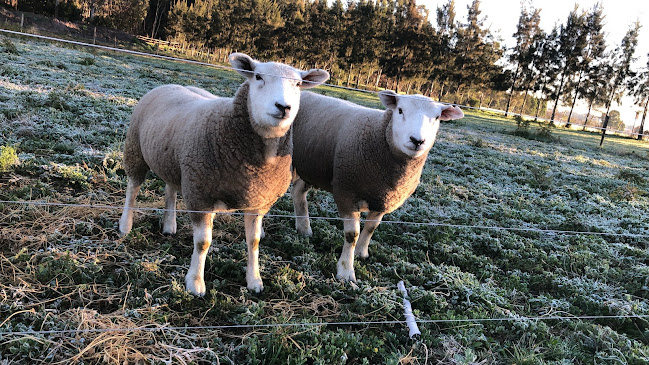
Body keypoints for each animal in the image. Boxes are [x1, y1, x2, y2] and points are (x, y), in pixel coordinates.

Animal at [117, 52, 330, 294]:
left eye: (298, 84)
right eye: (258, 77)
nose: (283, 106)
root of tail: (170, 85)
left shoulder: (258, 201)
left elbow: (254, 241)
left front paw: (254, 280)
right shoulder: (200, 195)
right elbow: (203, 243)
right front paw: (195, 283)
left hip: (175, 162)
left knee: (170, 188)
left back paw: (169, 226)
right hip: (135, 149)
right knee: (133, 188)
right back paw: (125, 225)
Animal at [292, 90, 464, 282]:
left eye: (437, 118)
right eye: (400, 110)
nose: (417, 140)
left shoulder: (383, 199)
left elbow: (370, 228)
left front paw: (361, 253)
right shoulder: (346, 193)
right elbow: (352, 235)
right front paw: (346, 271)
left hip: (310, 167)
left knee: (298, 193)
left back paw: (304, 229)